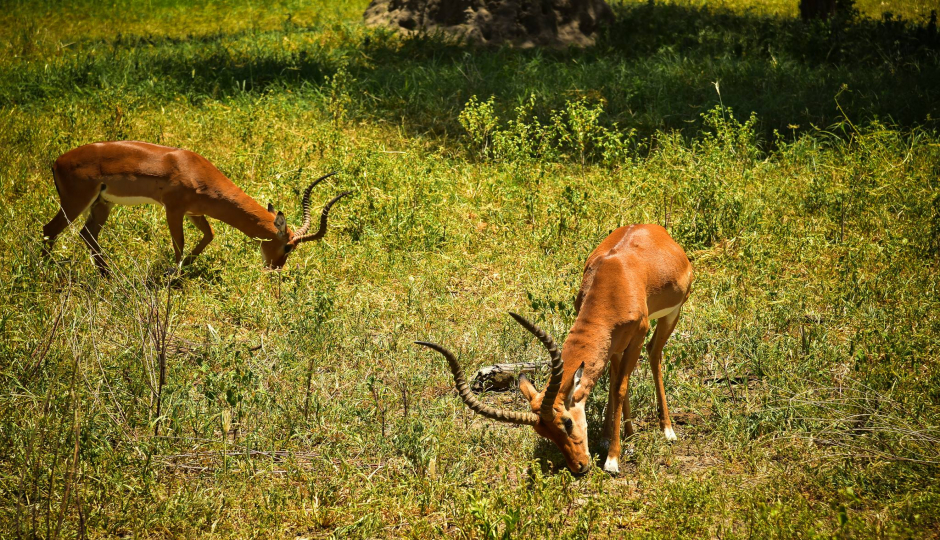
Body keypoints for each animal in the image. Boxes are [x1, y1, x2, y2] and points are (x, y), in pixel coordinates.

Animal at [39, 140, 348, 274]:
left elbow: (208, 236)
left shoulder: (195, 212)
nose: (276, 269)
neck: (194, 171)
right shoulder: (173, 210)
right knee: (49, 229)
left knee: (87, 235)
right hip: (74, 202)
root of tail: (57, 162)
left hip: (102, 204)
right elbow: (180, 243)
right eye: (287, 246)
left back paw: (108, 275)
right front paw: (173, 274)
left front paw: (186, 267)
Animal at [416, 224, 692, 472]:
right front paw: (609, 441)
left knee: (654, 353)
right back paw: (627, 433)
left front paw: (612, 461)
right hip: (618, 345)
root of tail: (658, 231)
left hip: (671, 315)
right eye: (543, 431)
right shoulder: (613, 341)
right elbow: (614, 384)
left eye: (566, 422)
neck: (615, 281)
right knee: (619, 371)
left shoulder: (637, 334)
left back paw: (667, 431)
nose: (579, 466)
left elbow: (620, 387)